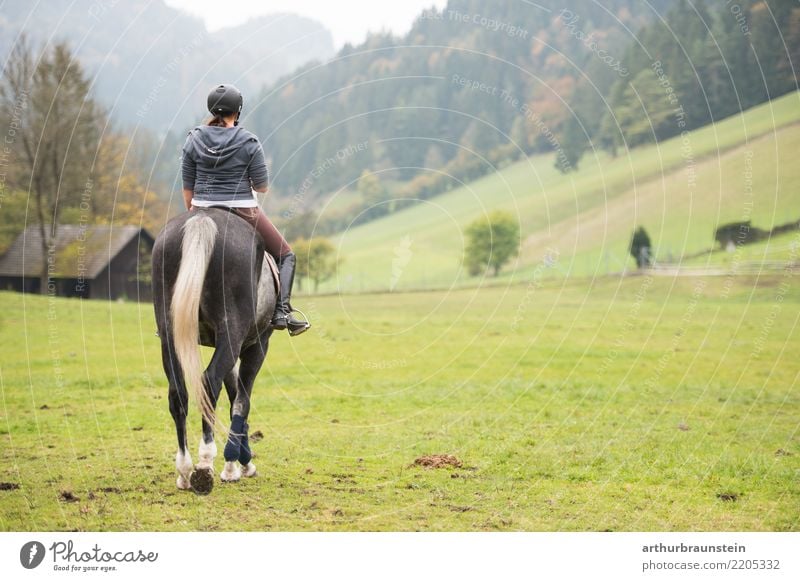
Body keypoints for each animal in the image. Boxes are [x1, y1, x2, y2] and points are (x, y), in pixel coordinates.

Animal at [151, 206, 278, 492]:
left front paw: (240, 460)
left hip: (169, 336)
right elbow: (241, 401)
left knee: (179, 393)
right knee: (208, 383)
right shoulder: (257, 344)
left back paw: (185, 470)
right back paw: (206, 460)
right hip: (234, 333)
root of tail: (202, 219)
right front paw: (236, 464)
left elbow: (233, 396)